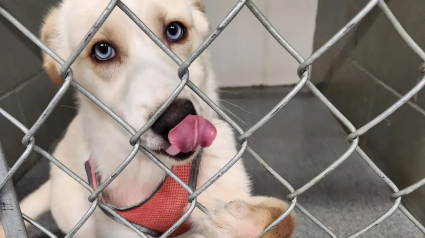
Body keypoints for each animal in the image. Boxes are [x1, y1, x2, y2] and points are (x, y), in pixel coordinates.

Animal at [0, 0, 294, 237]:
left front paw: (246, 224)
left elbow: (284, 215)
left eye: (174, 30)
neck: (156, 169)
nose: (175, 119)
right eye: (102, 50)